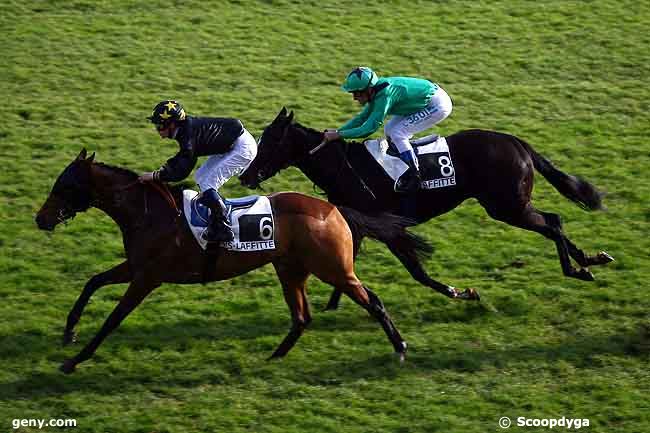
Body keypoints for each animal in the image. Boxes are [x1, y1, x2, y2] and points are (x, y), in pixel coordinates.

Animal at [34, 148, 430, 372]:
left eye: (65, 186)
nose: (41, 218)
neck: (148, 213)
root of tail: (333, 208)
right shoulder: (136, 267)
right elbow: (92, 282)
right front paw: (69, 332)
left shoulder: (147, 278)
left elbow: (112, 320)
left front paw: (74, 360)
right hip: (290, 269)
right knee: (302, 317)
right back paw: (274, 358)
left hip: (333, 268)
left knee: (373, 302)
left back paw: (399, 348)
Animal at [239, 107, 612, 308]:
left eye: (270, 141)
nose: (245, 175)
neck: (345, 168)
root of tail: (514, 141)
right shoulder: (358, 227)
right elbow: (347, 266)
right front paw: (335, 304)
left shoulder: (390, 228)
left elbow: (417, 271)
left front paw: (462, 292)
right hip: (510, 204)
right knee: (554, 220)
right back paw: (590, 259)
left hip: (506, 206)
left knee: (552, 222)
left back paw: (576, 269)